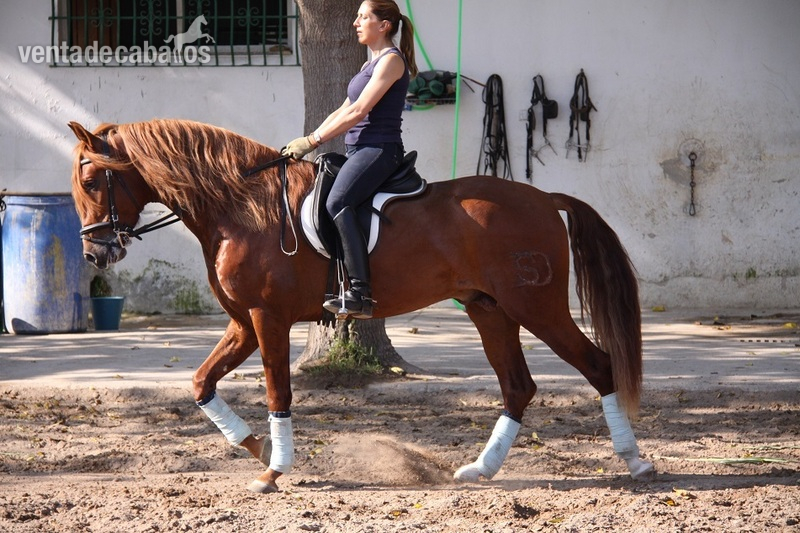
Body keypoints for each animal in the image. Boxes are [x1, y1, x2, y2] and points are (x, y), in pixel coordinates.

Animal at [68, 118, 654, 493]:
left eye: (94, 179)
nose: (95, 252)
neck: (241, 207)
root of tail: (544, 198)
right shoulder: (244, 322)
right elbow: (200, 383)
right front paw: (257, 449)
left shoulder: (266, 318)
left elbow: (278, 391)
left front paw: (274, 470)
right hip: (488, 308)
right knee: (518, 387)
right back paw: (479, 471)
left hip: (537, 308)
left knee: (599, 366)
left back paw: (636, 463)